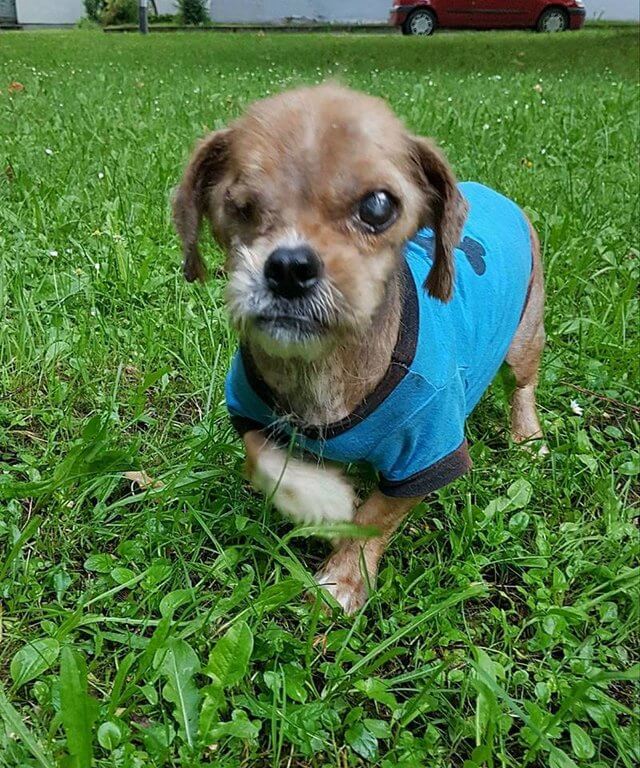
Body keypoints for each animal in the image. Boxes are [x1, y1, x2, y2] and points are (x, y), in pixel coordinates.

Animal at [171, 82, 544, 612]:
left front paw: (344, 577)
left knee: (523, 387)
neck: (323, 367)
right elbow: (262, 455)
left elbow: (374, 518)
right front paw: (314, 494)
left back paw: (527, 437)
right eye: (238, 205)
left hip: (523, 341)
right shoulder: (249, 407)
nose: (288, 268)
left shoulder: (428, 454)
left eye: (378, 207)